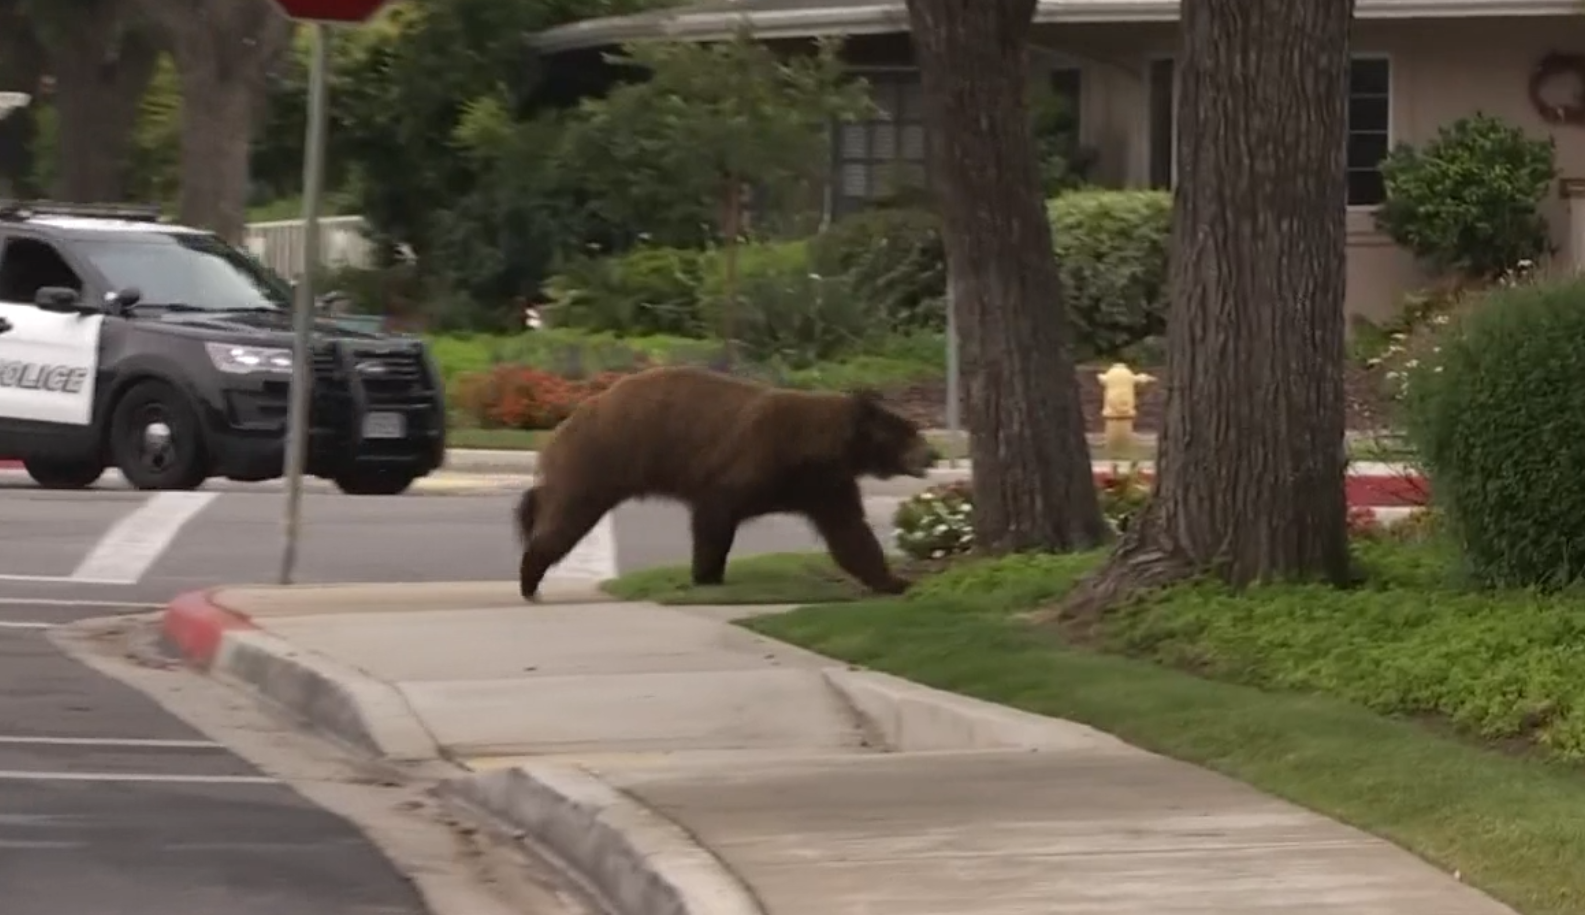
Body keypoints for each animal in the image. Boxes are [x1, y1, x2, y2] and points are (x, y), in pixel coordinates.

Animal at [514, 364, 935, 601]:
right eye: (909, 432)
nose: (932, 455)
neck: (820, 449)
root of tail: (565, 423)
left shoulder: (824, 486)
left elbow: (850, 533)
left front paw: (895, 581)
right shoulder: (754, 461)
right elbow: (715, 515)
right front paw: (707, 574)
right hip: (599, 460)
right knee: (567, 515)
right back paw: (529, 577)